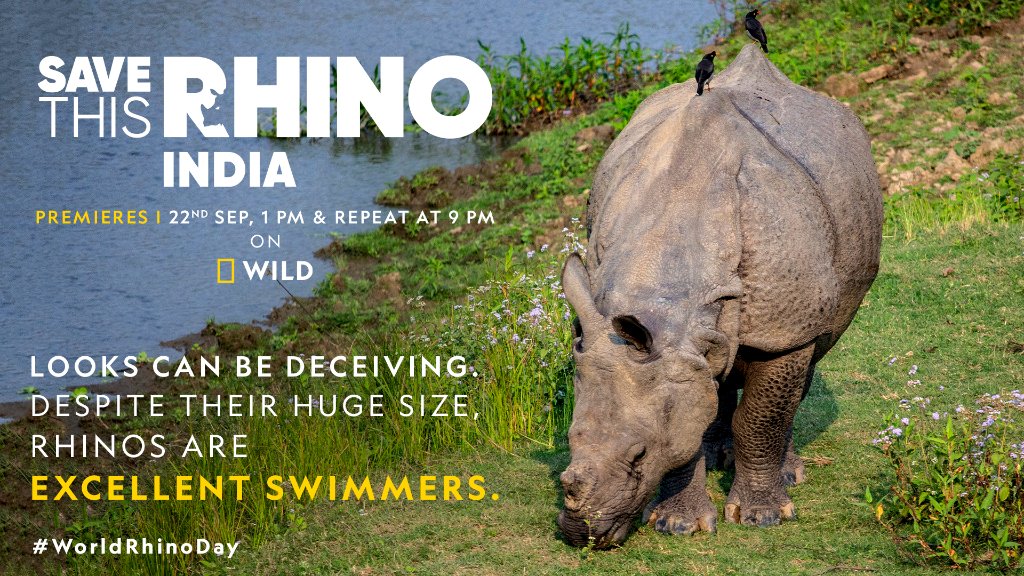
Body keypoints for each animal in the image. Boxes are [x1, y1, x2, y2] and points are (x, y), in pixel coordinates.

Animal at [557, 44, 882, 548]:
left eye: (639, 456)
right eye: (570, 439)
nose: (580, 534)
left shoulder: (785, 325)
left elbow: (761, 418)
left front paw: (762, 516)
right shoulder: (671, 350)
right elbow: (686, 423)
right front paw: (677, 524)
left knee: (806, 363)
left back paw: (788, 475)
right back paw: (717, 457)